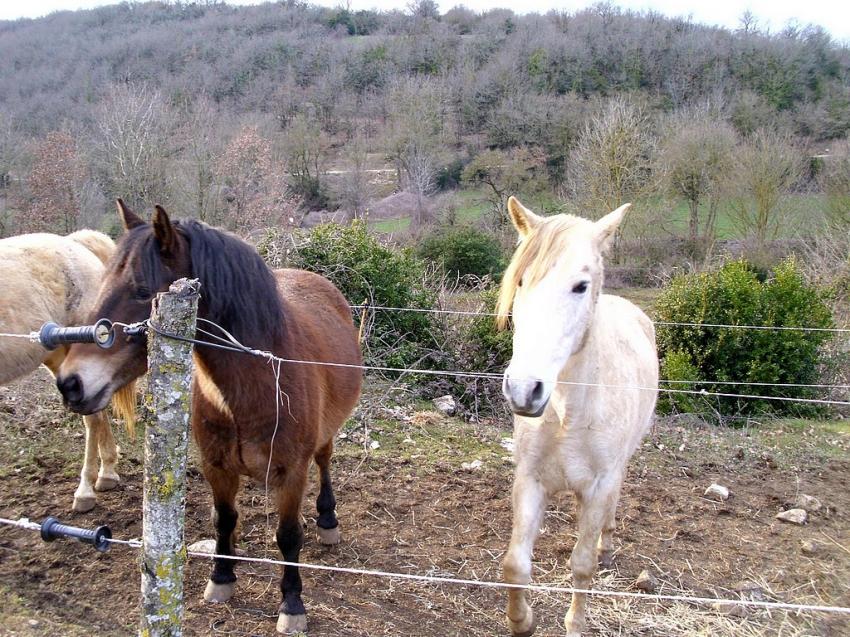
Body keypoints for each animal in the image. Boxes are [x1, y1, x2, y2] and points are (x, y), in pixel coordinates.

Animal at [55, 201, 362, 632]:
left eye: (143, 292)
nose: (71, 383)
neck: (258, 384)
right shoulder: (216, 466)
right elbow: (225, 519)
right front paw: (222, 578)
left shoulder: (291, 473)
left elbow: (288, 535)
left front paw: (292, 604)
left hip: (324, 440)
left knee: (325, 461)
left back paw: (328, 520)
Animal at [494, 195, 660, 636]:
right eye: (521, 282)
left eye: (580, 286)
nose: (524, 389)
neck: (569, 412)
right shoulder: (530, 479)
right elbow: (515, 564)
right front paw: (522, 621)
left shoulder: (600, 484)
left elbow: (582, 566)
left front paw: (575, 622)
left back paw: (607, 541)